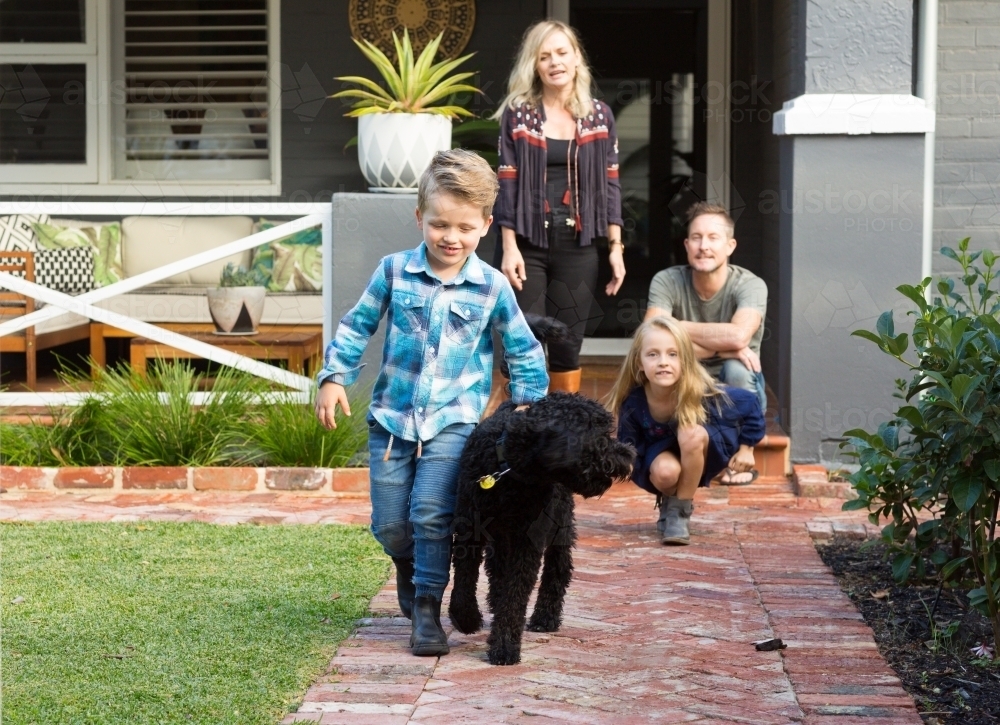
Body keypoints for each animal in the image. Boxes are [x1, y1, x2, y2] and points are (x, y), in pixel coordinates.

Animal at [452, 326, 632, 664]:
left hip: (561, 528)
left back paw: (545, 618)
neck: (511, 472)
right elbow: (465, 578)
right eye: (600, 434)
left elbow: (516, 594)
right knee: (497, 571)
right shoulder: (470, 529)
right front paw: (465, 617)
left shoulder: (530, 541)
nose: (628, 457)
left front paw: (505, 645)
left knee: (558, 571)